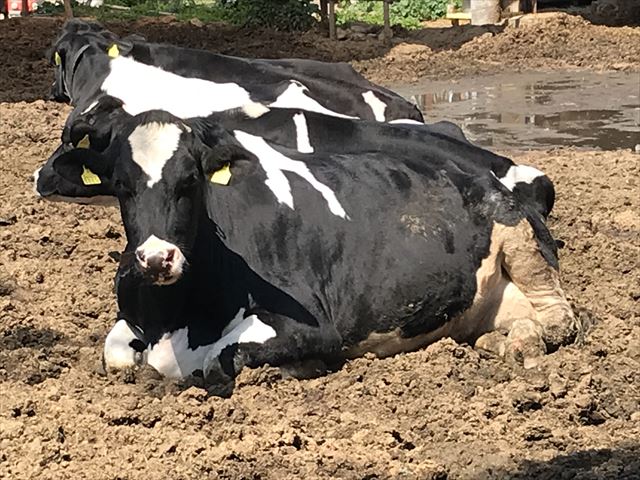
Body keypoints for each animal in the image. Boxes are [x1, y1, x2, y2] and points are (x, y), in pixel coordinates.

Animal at [42, 107, 576, 388]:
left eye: (190, 180)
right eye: (121, 185)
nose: (157, 258)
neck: (174, 315)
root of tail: (485, 174)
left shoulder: (313, 325)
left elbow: (209, 361)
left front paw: (302, 368)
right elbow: (115, 351)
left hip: (521, 241)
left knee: (564, 322)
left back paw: (523, 343)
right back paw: (498, 340)